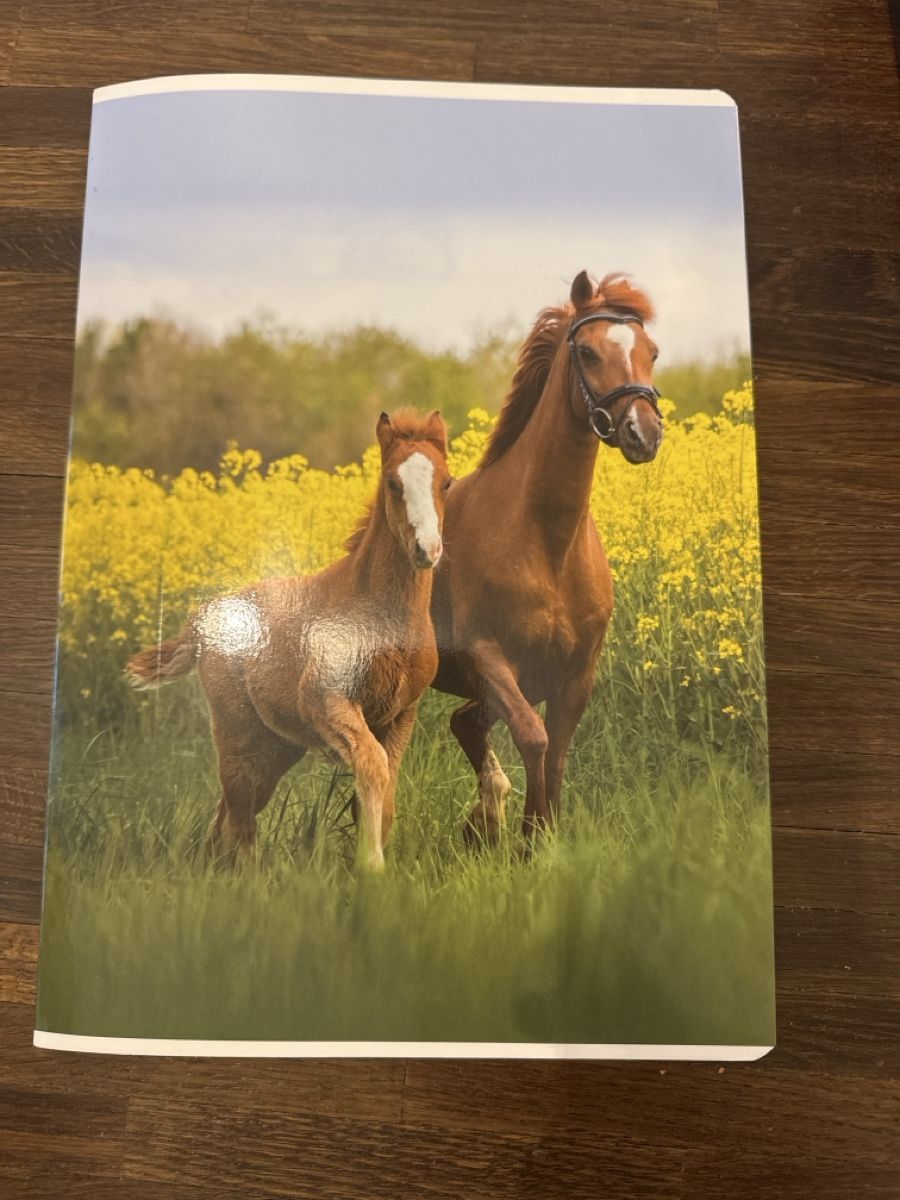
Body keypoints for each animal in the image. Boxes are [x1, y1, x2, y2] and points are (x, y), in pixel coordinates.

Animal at [127, 408, 452, 871]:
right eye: (393, 482)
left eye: (447, 482)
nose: (428, 549)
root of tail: (203, 619)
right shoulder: (325, 698)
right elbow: (372, 767)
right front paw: (370, 867)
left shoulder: (401, 713)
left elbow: (387, 792)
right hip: (237, 736)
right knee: (239, 820)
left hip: (275, 747)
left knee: (228, 815)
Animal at [431, 270, 663, 845]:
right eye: (588, 351)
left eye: (651, 351)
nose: (643, 433)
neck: (547, 544)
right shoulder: (490, 657)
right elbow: (533, 737)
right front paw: (527, 839)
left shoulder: (575, 673)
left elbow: (556, 752)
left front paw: (541, 836)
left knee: (464, 724)